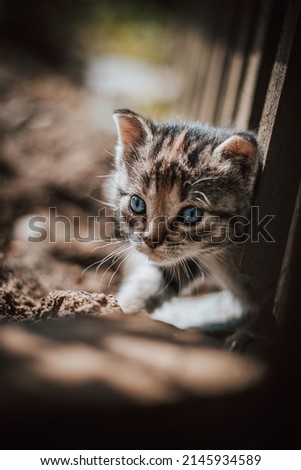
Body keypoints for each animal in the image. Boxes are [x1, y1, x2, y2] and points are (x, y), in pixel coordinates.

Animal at [106, 109, 260, 330]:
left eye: (191, 214)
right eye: (137, 204)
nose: (151, 241)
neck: (222, 253)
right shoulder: (187, 256)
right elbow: (161, 278)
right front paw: (121, 309)